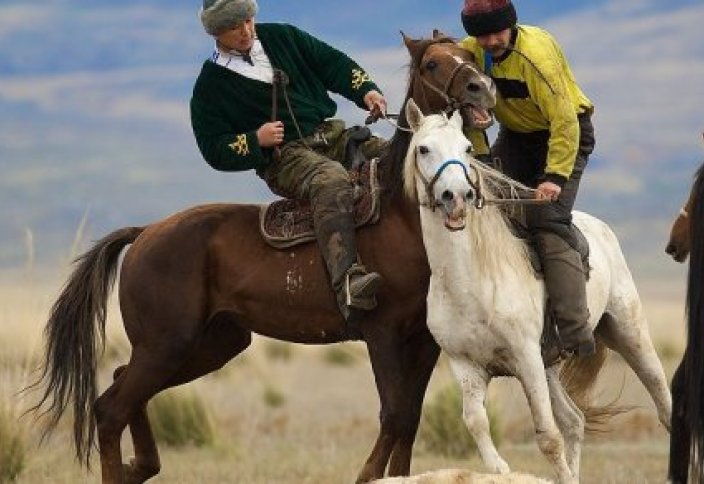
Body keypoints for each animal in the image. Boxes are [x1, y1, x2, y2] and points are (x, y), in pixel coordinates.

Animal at [31, 32, 496, 482]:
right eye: (433, 63)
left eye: (469, 53)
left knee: (120, 387)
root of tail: (145, 233)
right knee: (110, 410)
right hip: (166, 344)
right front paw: (366, 475)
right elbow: (395, 415)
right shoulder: (382, 333)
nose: (482, 88)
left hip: (211, 344)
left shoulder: (424, 340)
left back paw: (141, 466)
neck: (402, 215)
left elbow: (411, 420)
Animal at [402, 99, 672, 484]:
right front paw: (500, 468)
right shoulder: (466, 365)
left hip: (629, 335)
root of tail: (601, 228)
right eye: (423, 149)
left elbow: (547, 437)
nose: (457, 196)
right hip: (550, 366)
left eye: (467, 149)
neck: (469, 283)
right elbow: (476, 422)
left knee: (663, 405)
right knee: (575, 421)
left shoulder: (526, 357)